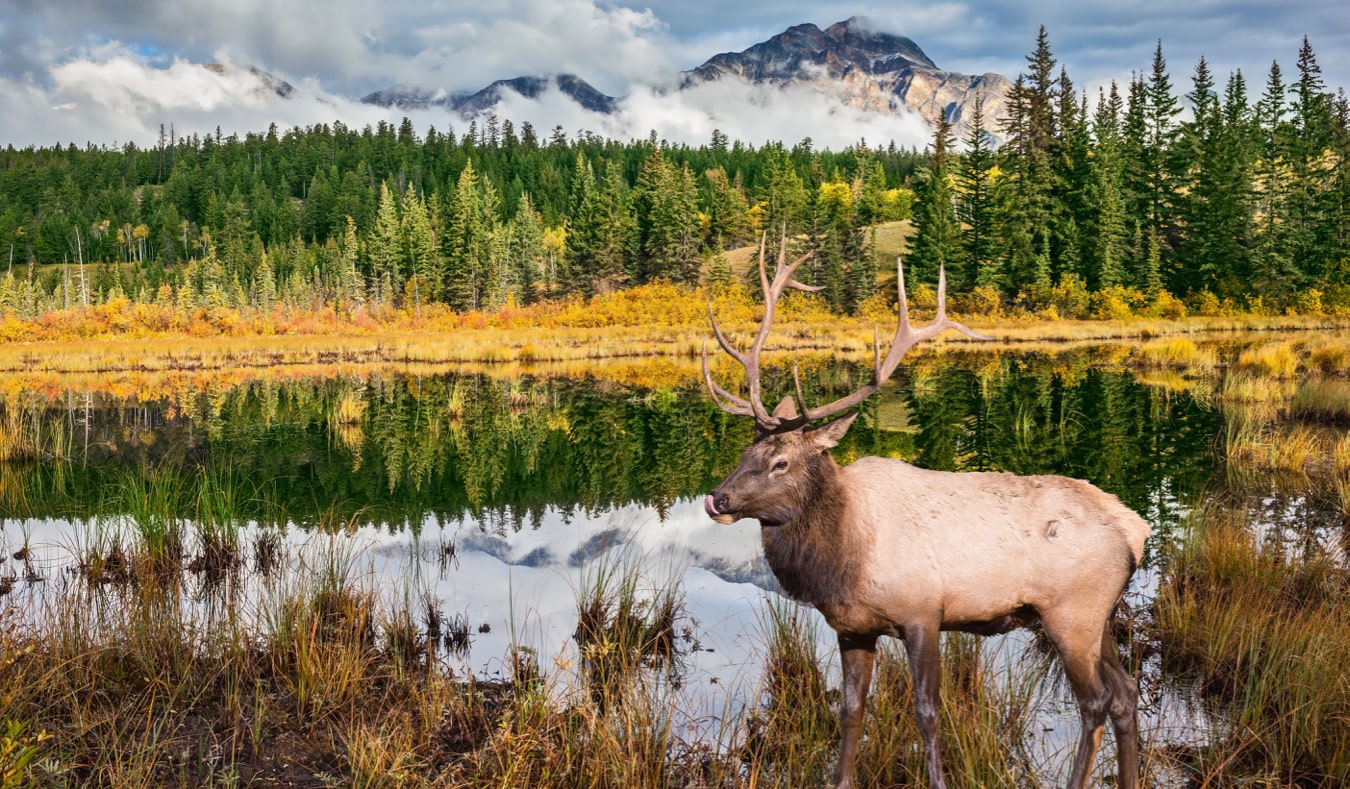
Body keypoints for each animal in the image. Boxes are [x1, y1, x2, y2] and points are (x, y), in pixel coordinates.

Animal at [702, 233, 1144, 789]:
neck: (843, 558)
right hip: (1100, 615)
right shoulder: (852, 627)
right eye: (745, 453)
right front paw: (841, 778)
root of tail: (1135, 530)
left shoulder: (923, 612)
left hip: (1071, 611)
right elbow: (851, 710)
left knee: (1098, 701)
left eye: (780, 462)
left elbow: (928, 712)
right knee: (1127, 693)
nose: (717, 498)